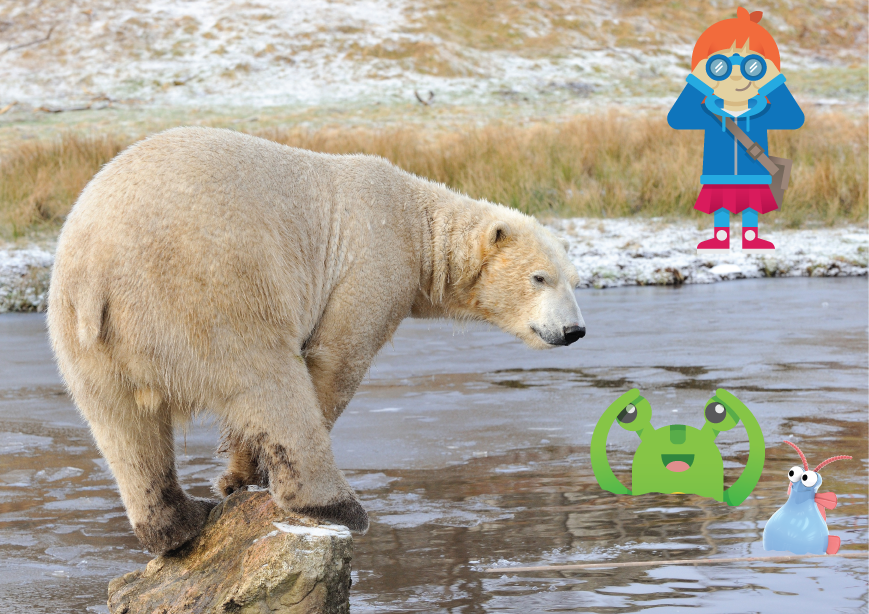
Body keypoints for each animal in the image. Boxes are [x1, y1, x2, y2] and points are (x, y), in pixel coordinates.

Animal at [44, 126, 580, 560]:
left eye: (573, 279)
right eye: (539, 277)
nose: (574, 331)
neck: (416, 220)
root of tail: (96, 269)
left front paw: (235, 477)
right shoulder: (374, 259)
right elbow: (336, 359)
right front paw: (252, 475)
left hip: (83, 337)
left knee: (122, 425)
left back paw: (178, 524)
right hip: (207, 290)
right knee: (268, 381)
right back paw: (339, 506)